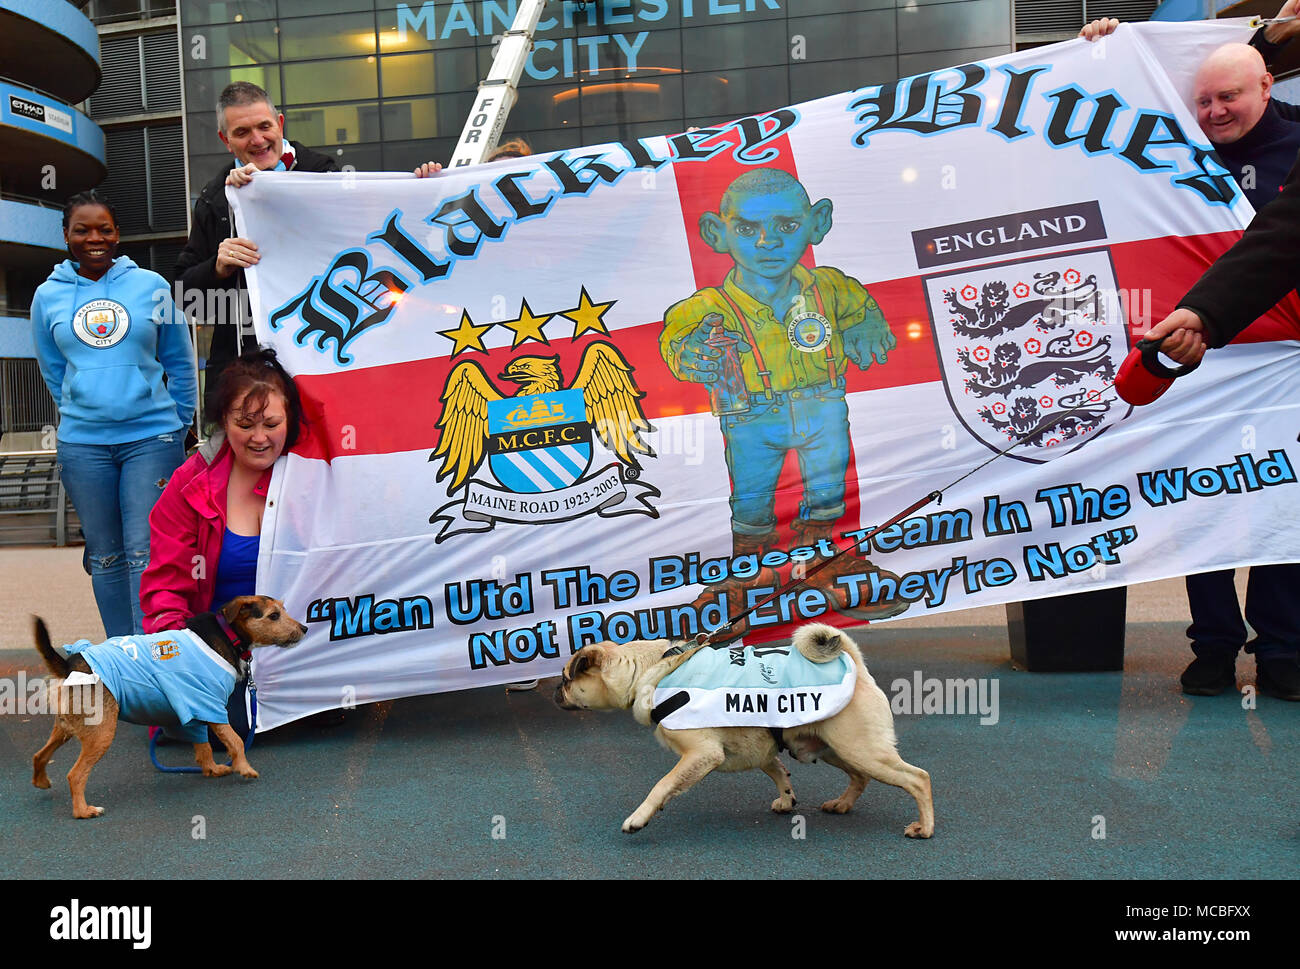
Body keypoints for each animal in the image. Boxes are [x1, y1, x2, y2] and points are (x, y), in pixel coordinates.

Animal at [31, 593, 305, 822]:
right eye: (273, 616)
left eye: (283, 609)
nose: (304, 628)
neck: (227, 633)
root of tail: (70, 665)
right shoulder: (212, 707)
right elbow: (236, 741)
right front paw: (245, 768)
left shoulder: (197, 708)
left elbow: (203, 746)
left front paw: (212, 769)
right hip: (101, 733)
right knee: (75, 775)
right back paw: (83, 811)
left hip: (65, 728)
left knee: (39, 755)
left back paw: (41, 781)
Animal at [553, 624, 930, 837]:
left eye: (566, 679)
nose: (557, 690)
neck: (651, 669)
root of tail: (856, 666)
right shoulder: (759, 748)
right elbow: (777, 770)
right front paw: (786, 798)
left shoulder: (702, 755)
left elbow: (662, 785)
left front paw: (639, 817)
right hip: (833, 748)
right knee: (860, 777)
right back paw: (842, 804)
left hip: (862, 750)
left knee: (918, 778)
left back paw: (924, 828)